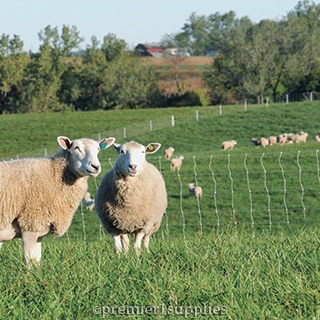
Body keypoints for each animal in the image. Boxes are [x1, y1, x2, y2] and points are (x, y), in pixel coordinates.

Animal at [0, 136, 115, 268]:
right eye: (76, 148)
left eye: (98, 149)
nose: (95, 167)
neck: (53, 173)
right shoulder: (31, 224)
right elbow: (31, 263)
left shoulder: (39, 230)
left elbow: (37, 262)